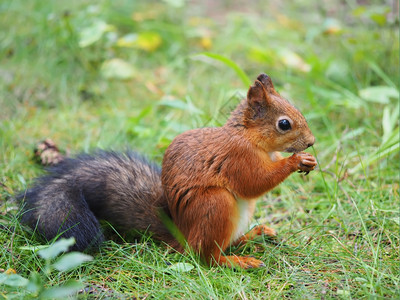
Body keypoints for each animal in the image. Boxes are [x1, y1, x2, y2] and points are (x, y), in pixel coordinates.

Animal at [20, 73, 318, 270]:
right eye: (284, 124)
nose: (311, 141)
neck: (248, 136)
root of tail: (182, 235)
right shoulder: (236, 158)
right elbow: (254, 182)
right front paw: (295, 161)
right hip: (215, 205)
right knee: (205, 256)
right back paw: (236, 261)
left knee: (227, 242)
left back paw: (254, 234)